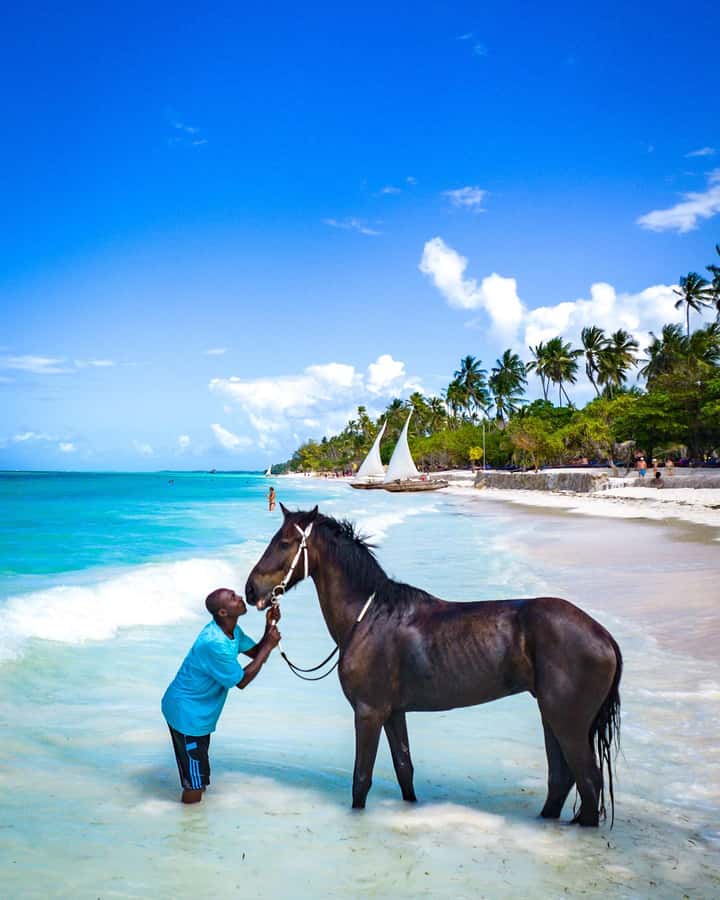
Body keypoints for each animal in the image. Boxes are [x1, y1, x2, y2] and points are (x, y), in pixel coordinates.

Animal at [245, 505, 622, 827]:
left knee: (588, 783)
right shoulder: (392, 712)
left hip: (568, 722)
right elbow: (404, 769)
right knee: (561, 779)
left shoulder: (368, 712)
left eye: (284, 542)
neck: (367, 617)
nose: (251, 590)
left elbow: (361, 780)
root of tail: (603, 635)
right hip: (552, 717)